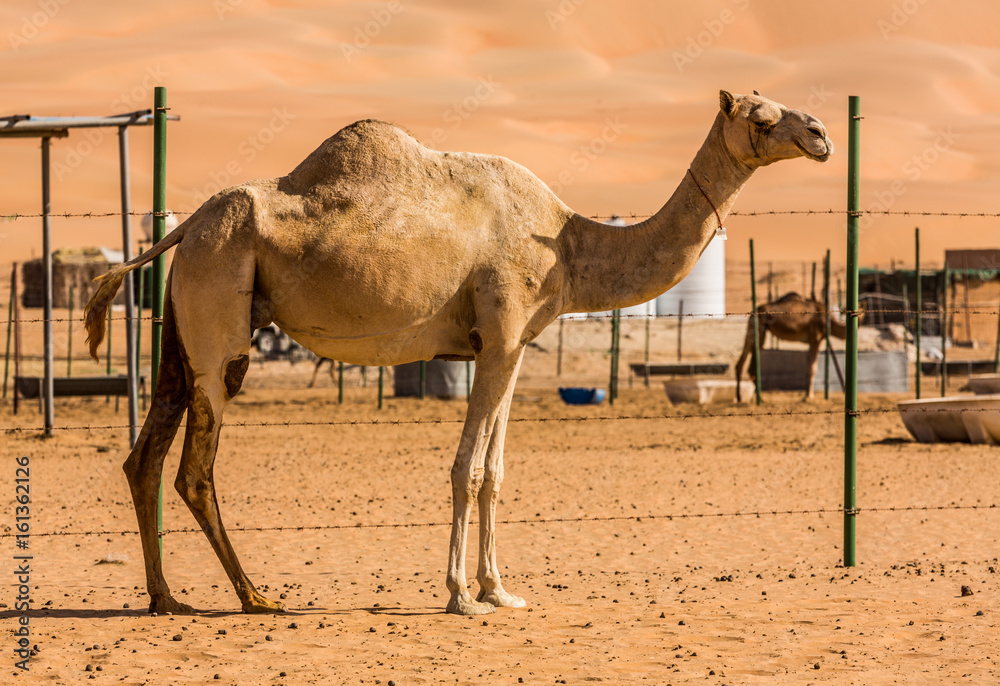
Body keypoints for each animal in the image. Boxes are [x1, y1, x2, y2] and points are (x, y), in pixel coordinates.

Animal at [86, 90, 832, 620]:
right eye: (762, 118)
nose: (821, 135)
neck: (568, 242)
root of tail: (185, 225)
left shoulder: (511, 347)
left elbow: (496, 470)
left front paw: (501, 589)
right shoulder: (499, 335)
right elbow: (467, 470)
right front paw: (460, 595)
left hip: (183, 321)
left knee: (146, 452)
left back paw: (166, 597)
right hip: (221, 311)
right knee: (195, 468)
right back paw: (255, 596)